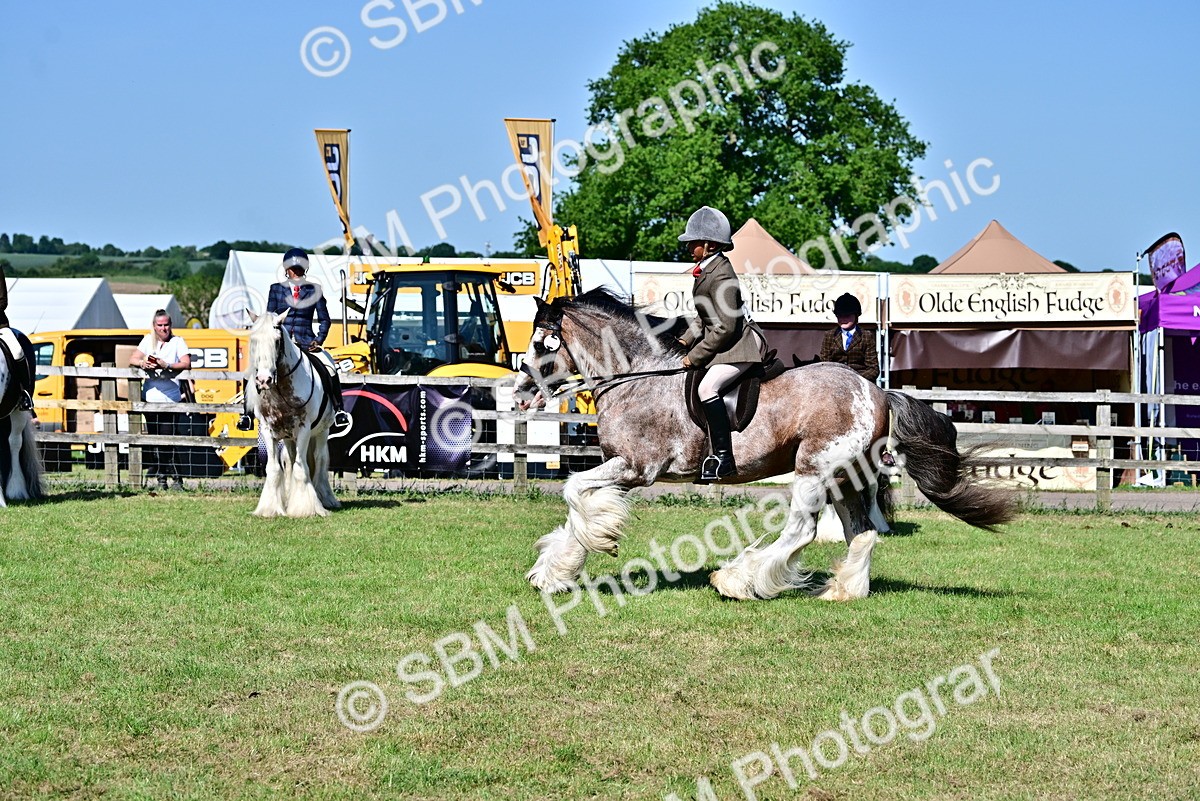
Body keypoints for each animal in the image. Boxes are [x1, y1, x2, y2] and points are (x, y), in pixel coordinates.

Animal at [246, 310, 340, 518]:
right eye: (253, 340)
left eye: (277, 341)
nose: (263, 380)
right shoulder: (268, 430)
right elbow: (274, 469)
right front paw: (270, 509)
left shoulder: (304, 429)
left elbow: (301, 468)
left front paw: (305, 509)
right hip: (289, 437)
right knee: (289, 458)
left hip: (322, 431)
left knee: (319, 459)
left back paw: (325, 498)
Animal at [513, 288, 1015, 601]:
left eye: (541, 345)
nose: (519, 394)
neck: (637, 376)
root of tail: (876, 392)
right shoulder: (621, 468)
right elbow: (576, 504)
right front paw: (554, 573)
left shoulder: (637, 467)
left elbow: (573, 491)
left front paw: (600, 539)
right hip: (846, 477)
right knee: (861, 531)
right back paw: (843, 590)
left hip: (814, 470)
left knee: (802, 531)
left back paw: (738, 580)